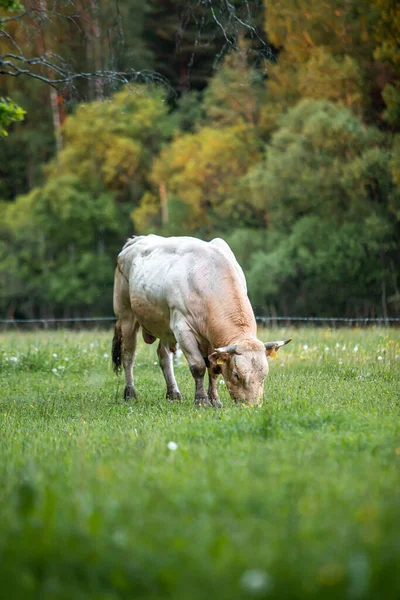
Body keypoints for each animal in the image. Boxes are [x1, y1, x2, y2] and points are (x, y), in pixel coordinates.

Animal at [112, 234, 290, 408]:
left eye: (264, 375)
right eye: (236, 374)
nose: (252, 406)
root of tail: (135, 240)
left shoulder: (211, 341)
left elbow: (214, 369)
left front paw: (215, 400)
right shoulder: (182, 329)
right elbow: (198, 366)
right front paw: (201, 400)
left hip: (164, 326)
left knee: (164, 356)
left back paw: (173, 394)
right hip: (126, 316)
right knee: (128, 356)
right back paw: (130, 393)